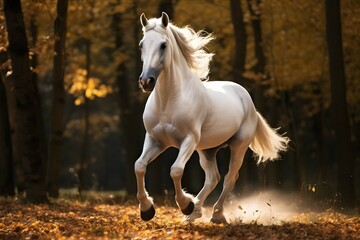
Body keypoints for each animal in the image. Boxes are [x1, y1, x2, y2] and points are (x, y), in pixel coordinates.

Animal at [134, 12, 288, 223]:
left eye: (163, 45)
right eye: (142, 44)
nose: (146, 81)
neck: (168, 101)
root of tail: (247, 99)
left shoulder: (189, 140)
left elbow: (176, 170)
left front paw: (185, 204)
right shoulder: (155, 140)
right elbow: (139, 166)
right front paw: (147, 209)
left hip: (238, 145)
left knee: (229, 178)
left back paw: (215, 214)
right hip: (207, 150)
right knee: (213, 178)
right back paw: (194, 213)